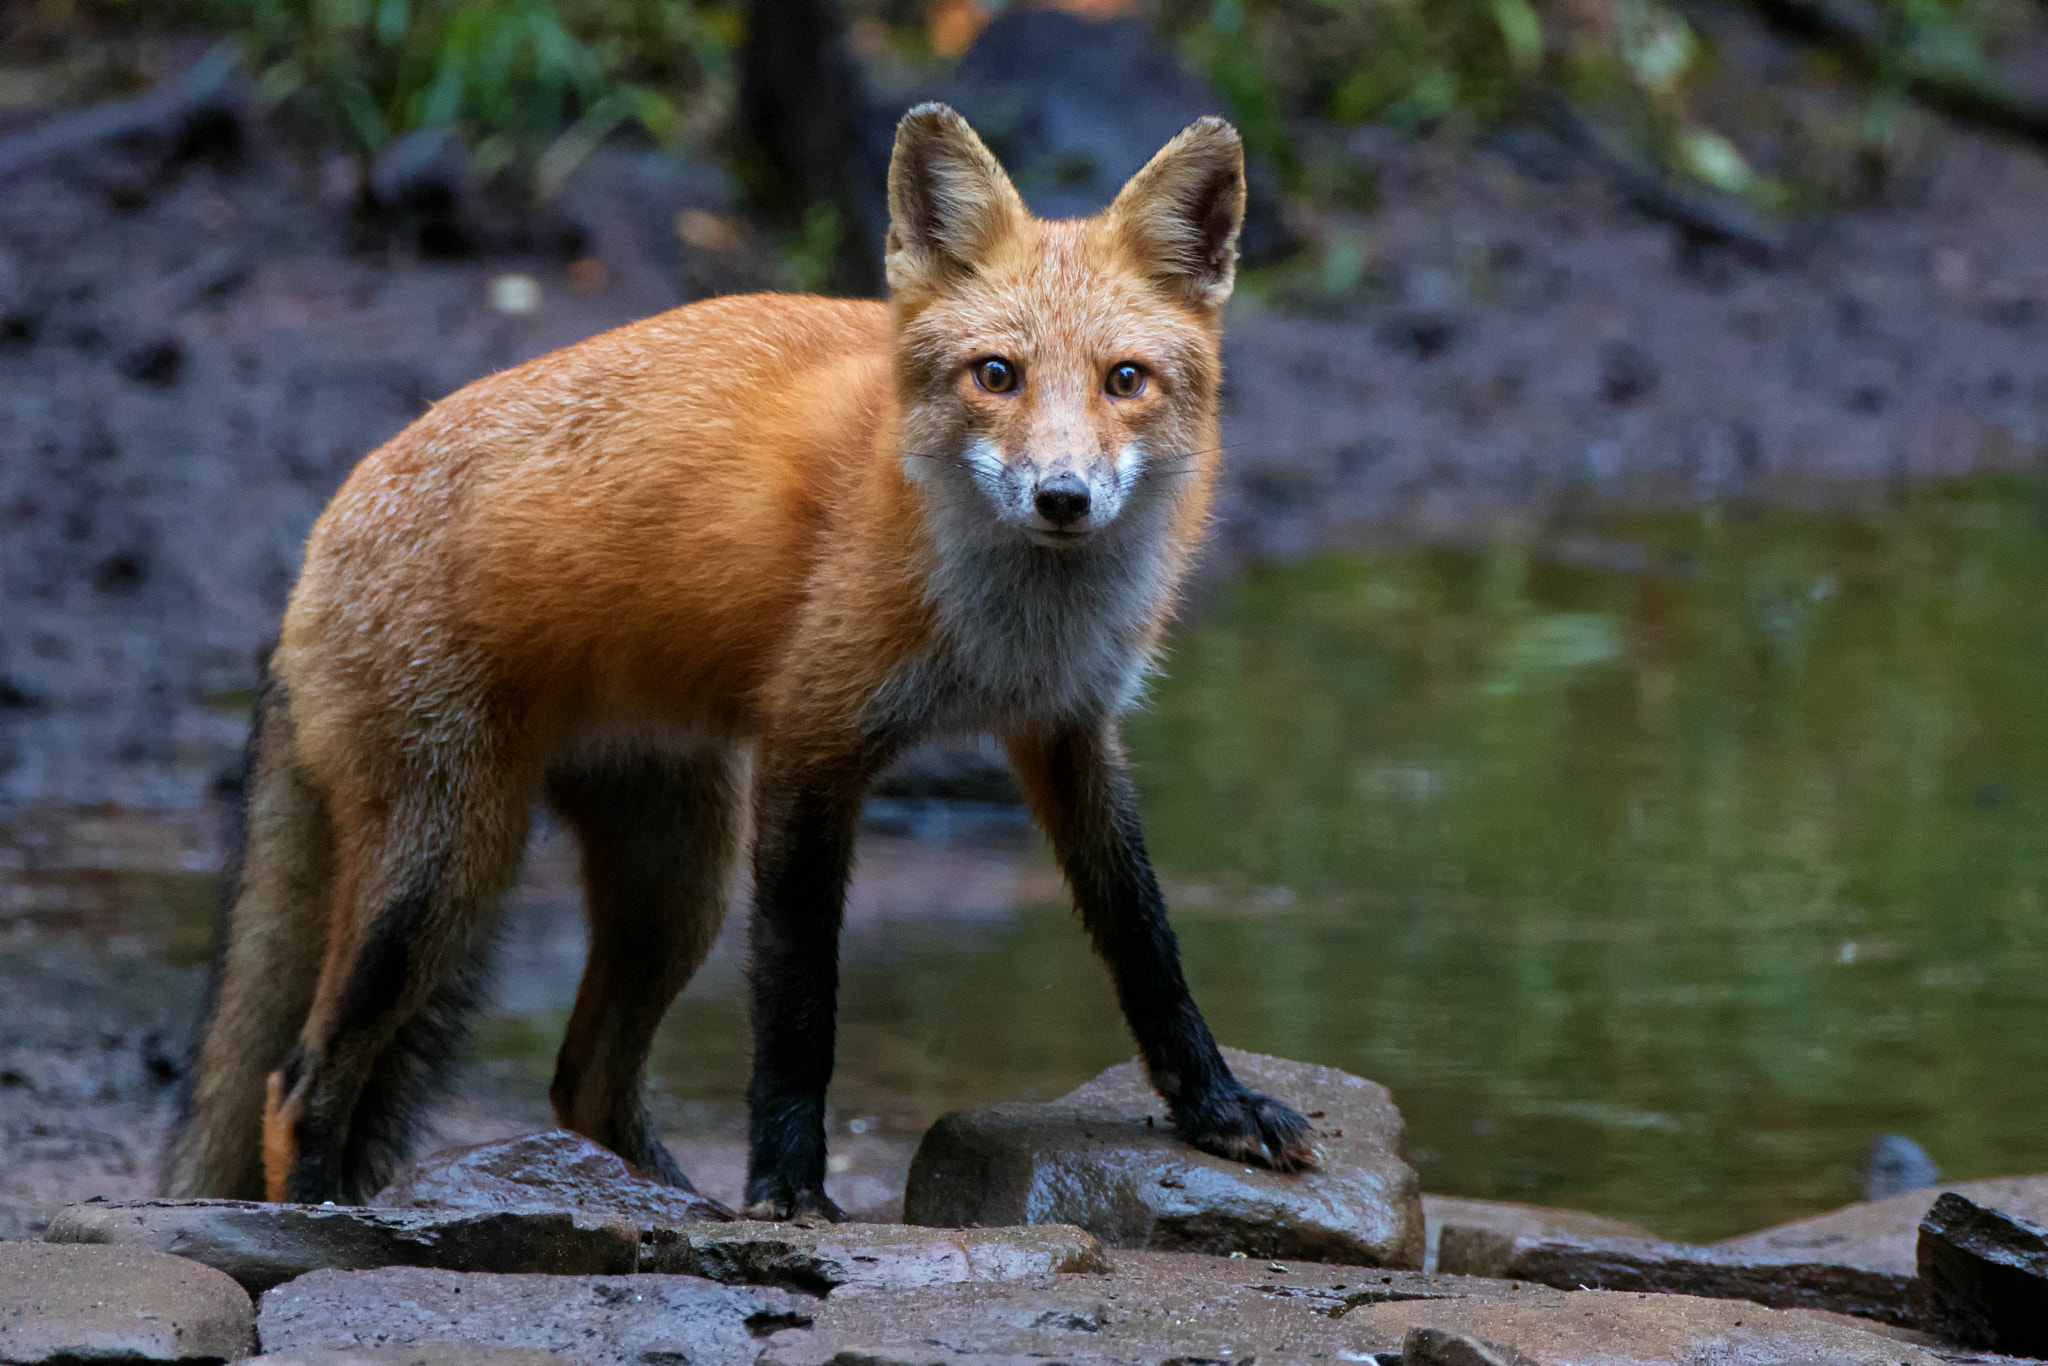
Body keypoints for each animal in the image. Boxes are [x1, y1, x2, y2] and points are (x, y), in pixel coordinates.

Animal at [159, 107, 1310, 1220]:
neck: (1007, 628)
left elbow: (1147, 945)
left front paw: (1217, 1107)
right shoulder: (812, 740)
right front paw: (789, 1187)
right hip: (446, 865)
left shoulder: (1067, 731)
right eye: (997, 376)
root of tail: (322, 531)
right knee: (297, 1080)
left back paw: (670, 1205)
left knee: (583, 1081)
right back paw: (323, 1212)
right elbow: (799, 1001)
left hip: (675, 876)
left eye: (1125, 381)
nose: (1063, 498)